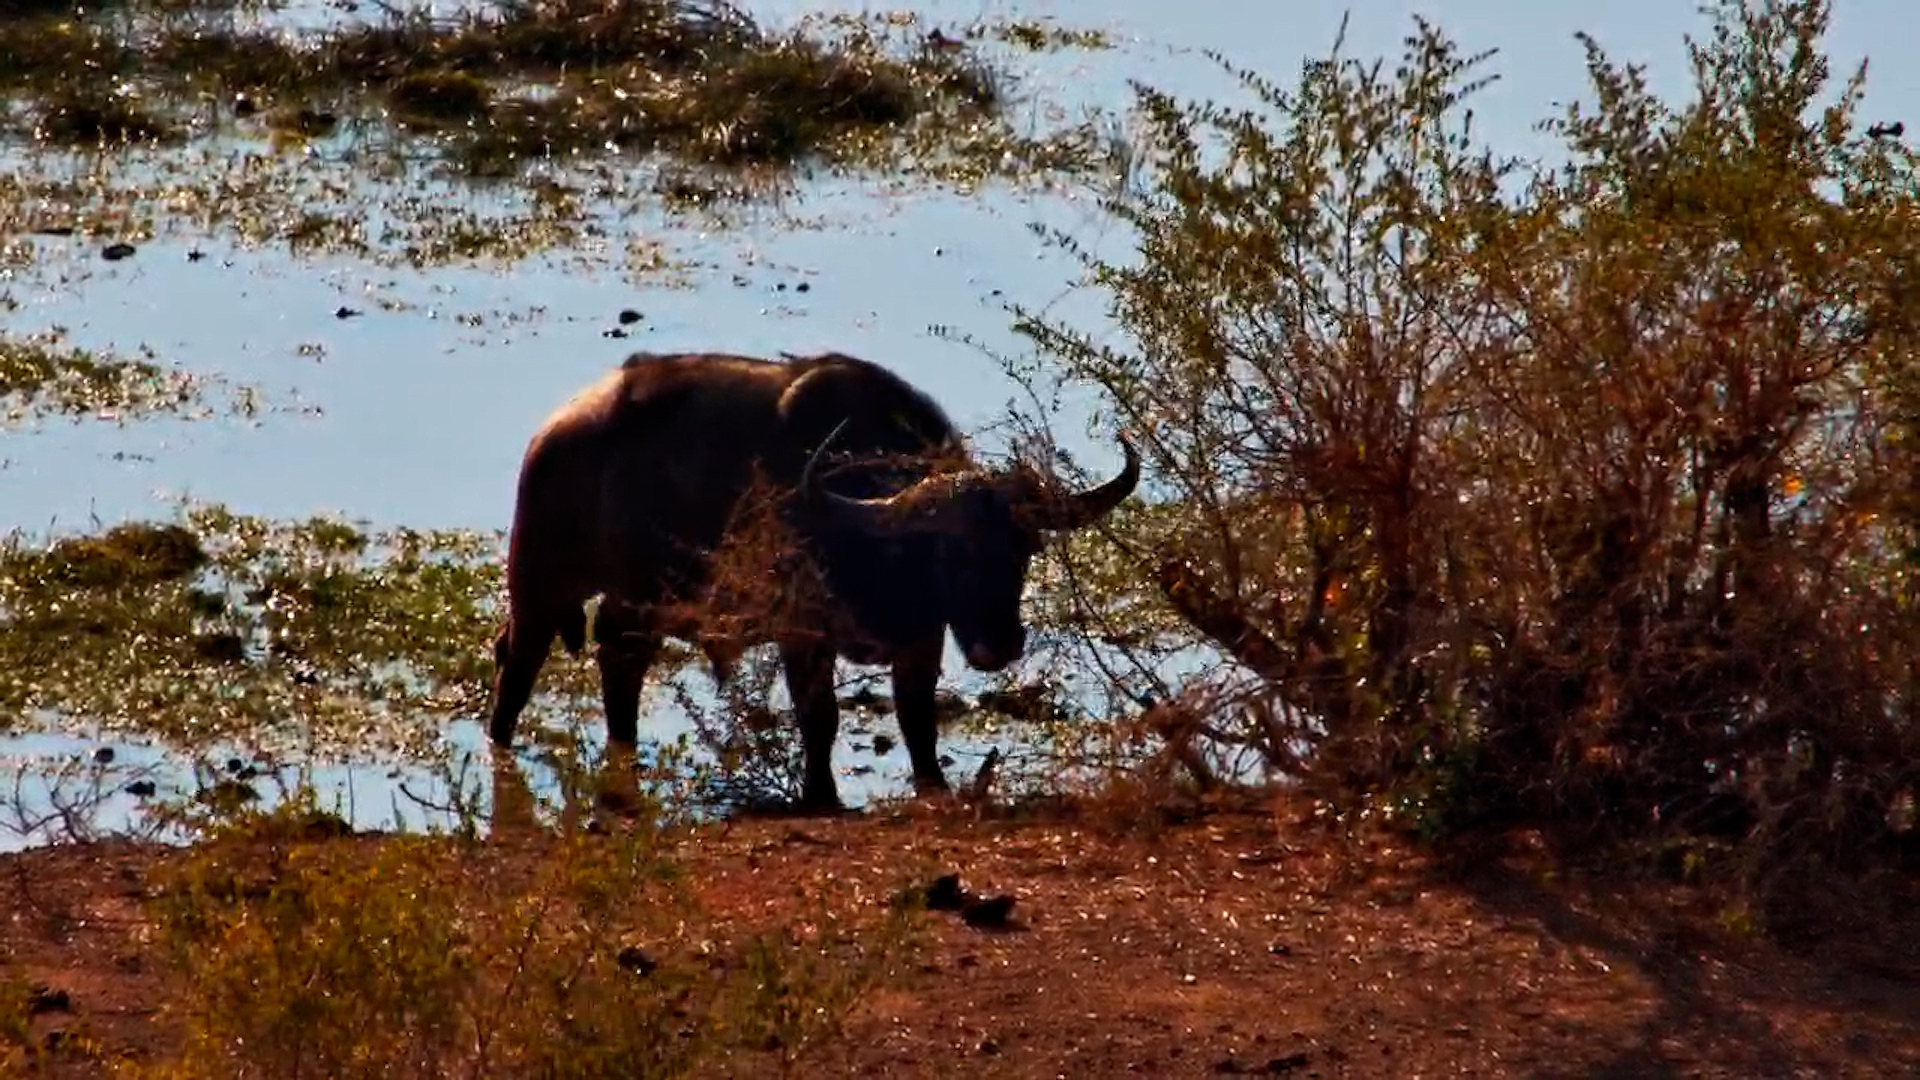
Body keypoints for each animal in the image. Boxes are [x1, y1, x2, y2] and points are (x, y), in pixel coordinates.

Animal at [485, 350, 1139, 811]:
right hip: (539, 585)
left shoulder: (921, 639)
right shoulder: (801, 631)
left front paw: (933, 786)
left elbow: (917, 721)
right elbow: (819, 717)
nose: (997, 644)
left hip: (636, 601)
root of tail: (555, 432)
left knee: (619, 659)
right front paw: (821, 796)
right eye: (950, 552)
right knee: (518, 668)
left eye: (1023, 550)